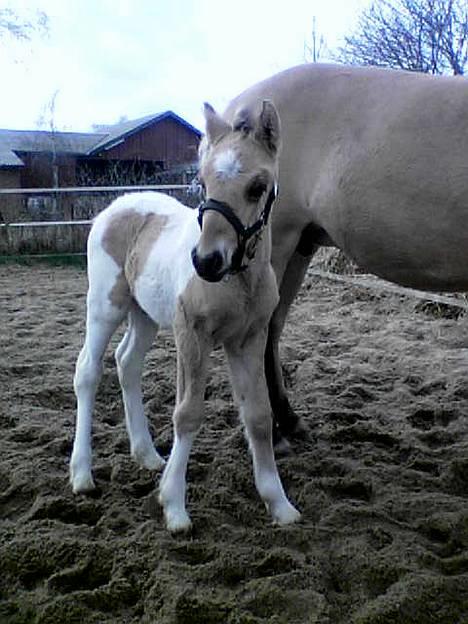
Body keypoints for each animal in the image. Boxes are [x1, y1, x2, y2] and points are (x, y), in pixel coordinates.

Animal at [71, 100, 302, 528]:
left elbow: (258, 416)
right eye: (202, 182)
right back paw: (81, 474)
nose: (206, 261)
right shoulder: (192, 333)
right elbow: (188, 413)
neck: (239, 279)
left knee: (127, 362)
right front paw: (175, 506)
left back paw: (147, 455)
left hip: (143, 313)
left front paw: (279, 504)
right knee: (88, 371)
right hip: (105, 305)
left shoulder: (248, 338)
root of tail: (115, 206)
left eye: (257, 187)